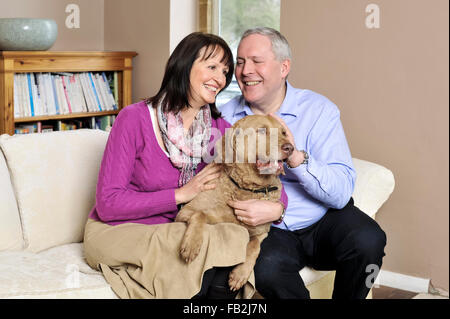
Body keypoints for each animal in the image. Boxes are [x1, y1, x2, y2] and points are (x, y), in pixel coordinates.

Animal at [174, 115, 294, 292]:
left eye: (284, 133)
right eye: (262, 130)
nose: (290, 148)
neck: (249, 189)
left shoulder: (262, 231)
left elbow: (255, 246)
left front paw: (240, 274)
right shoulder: (185, 212)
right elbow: (200, 214)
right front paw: (191, 245)